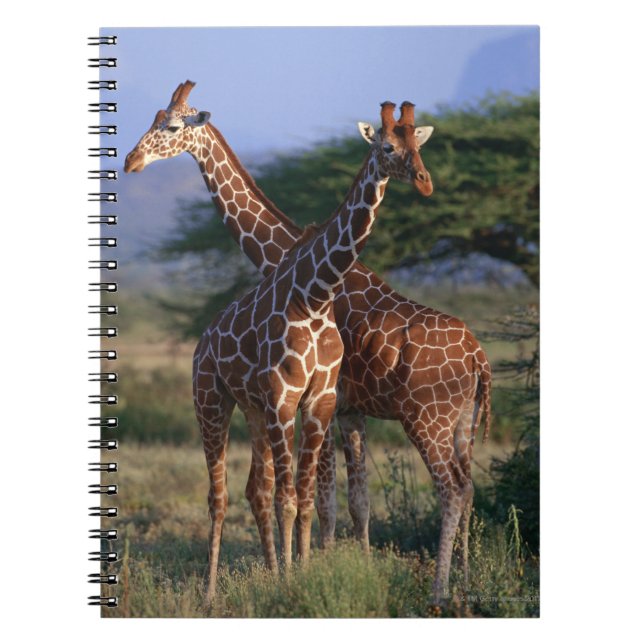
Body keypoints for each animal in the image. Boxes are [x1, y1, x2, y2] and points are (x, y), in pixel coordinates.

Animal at [125, 81, 491, 601]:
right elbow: (345, 501)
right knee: (469, 487)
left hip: (428, 418)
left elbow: (326, 499)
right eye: (156, 120)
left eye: (172, 127)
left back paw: (441, 588)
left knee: (452, 488)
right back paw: (462, 578)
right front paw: (333, 567)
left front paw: (318, 569)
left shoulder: (330, 403)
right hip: (460, 422)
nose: (132, 160)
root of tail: (480, 357)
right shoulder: (339, 408)